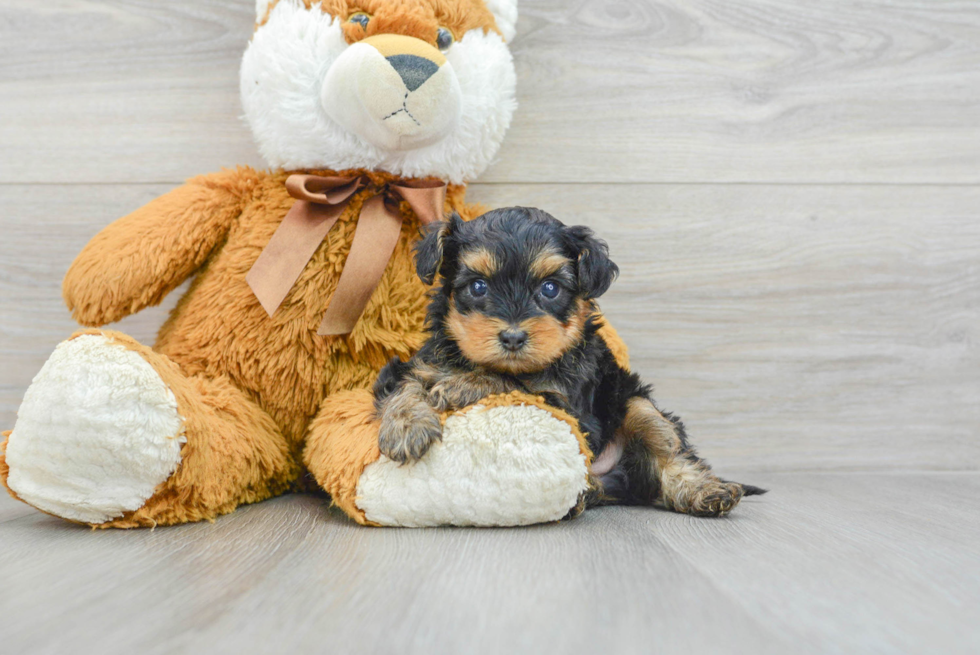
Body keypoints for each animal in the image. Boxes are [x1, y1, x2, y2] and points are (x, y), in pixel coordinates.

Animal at [376, 208, 764, 516]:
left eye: (550, 289)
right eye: (478, 287)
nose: (513, 337)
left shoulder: (571, 405)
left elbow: (515, 382)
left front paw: (462, 384)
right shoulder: (418, 363)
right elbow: (405, 385)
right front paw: (406, 427)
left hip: (633, 402)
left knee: (669, 451)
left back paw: (704, 490)